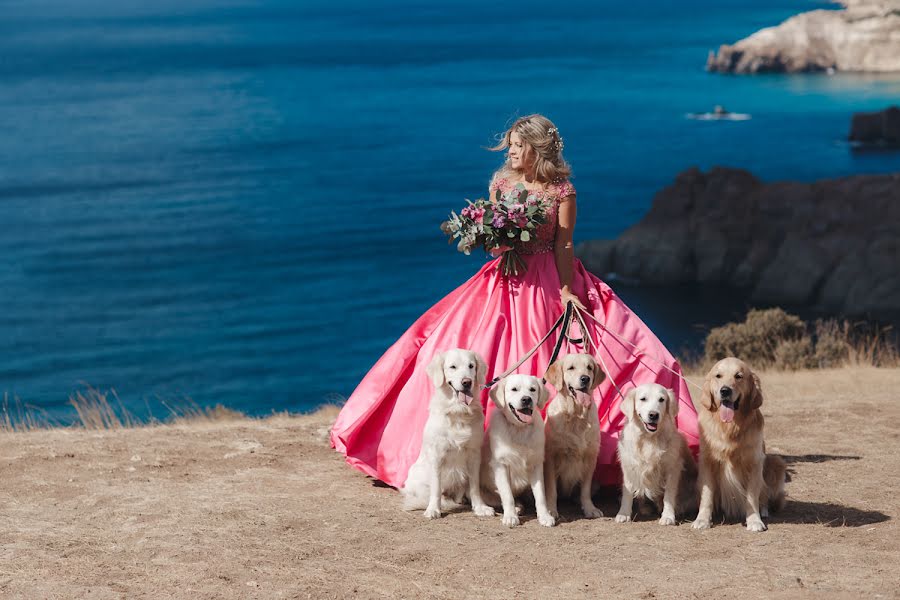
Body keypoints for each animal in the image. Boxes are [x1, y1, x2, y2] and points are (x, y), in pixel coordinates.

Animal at [404, 350, 496, 516]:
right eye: (453, 367)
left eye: (471, 366)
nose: (467, 382)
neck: (458, 411)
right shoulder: (436, 455)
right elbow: (436, 487)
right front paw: (433, 509)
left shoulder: (474, 454)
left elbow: (475, 487)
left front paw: (480, 507)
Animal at [478, 376, 556, 528]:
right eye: (514, 389)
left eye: (532, 389)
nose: (526, 399)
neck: (519, 429)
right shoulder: (501, 465)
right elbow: (507, 495)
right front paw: (510, 517)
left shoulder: (536, 464)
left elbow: (540, 495)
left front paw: (544, 516)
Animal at [540, 354, 604, 516]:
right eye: (571, 368)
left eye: (589, 367)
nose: (585, 378)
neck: (576, 416)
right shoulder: (551, 457)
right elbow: (551, 490)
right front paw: (551, 510)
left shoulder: (591, 457)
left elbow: (585, 490)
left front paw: (590, 508)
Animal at [616, 384, 700, 524]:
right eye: (643, 399)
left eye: (661, 399)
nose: (653, 415)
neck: (649, 438)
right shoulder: (629, 465)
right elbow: (627, 491)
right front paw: (624, 513)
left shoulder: (672, 468)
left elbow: (669, 495)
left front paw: (668, 516)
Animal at [692, 356, 784, 528]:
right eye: (718, 376)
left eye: (738, 376)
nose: (725, 391)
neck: (730, 427)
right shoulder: (707, 461)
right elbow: (707, 495)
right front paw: (702, 519)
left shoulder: (754, 462)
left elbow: (752, 496)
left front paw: (754, 520)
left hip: (776, 462)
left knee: (765, 496)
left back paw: (764, 511)